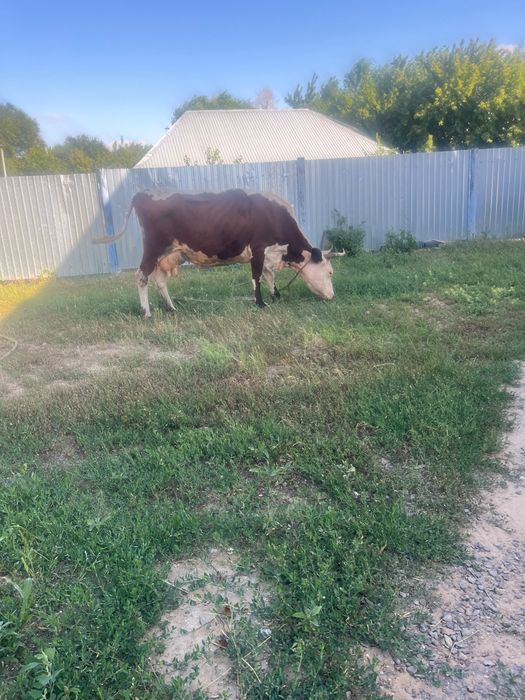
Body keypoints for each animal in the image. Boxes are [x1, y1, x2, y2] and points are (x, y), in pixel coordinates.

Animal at [93, 189, 343, 317]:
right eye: (330, 272)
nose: (333, 296)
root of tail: (145, 193)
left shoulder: (269, 254)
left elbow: (269, 276)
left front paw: (276, 296)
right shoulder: (258, 249)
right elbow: (257, 277)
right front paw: (261, 304)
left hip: (167, 254)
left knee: (160, 281)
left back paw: (171, 308)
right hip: (154, 248)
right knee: (141, 277)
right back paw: (146, 312)